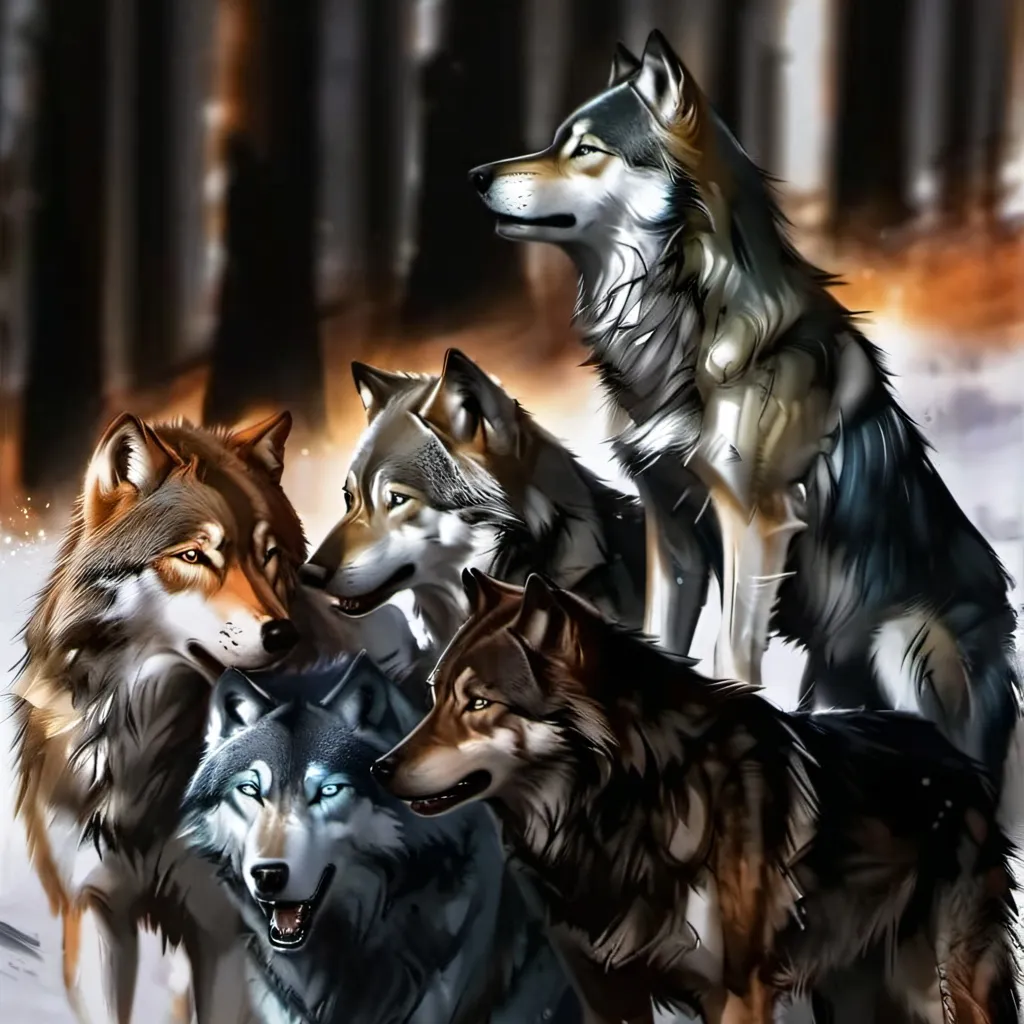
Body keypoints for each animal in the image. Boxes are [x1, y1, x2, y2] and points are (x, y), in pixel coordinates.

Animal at [9, 410, 420, 1024]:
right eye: (194, 556)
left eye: (268, 554)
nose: (282, 633)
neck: (147, 739)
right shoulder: (95, 907)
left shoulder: (227, 931)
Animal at [374, 569, 1022, 1024]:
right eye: (433, 695)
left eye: (479, 703)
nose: (381, 768)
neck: (616, 811)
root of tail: (950, 749)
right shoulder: (608, 1000)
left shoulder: (736, 993)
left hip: (951, 985)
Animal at [468, 29, 1022, 793]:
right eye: (556, 140)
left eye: (585, 148)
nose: (475, 174)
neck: (679, 325)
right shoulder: (670, 525)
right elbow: (658, 643)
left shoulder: (754, 527)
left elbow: (732, 660)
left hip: (898, 640)